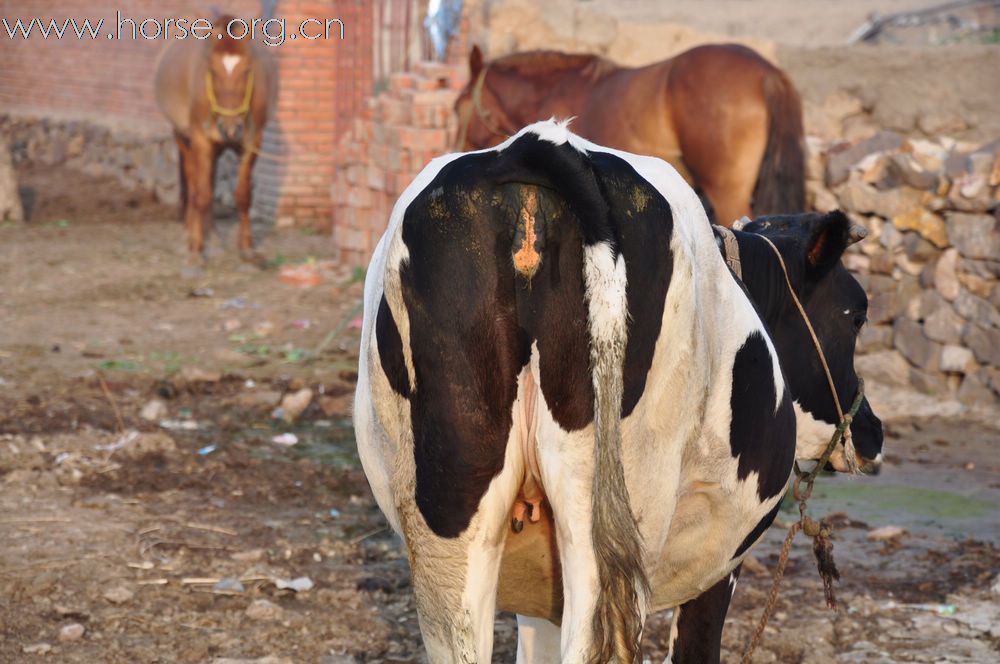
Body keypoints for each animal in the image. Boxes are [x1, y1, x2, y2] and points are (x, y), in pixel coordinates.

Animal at [152, 15, 278, 264]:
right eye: (212, 70)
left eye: (247, 69)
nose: (230, 128)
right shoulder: (201, 141)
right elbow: (201, 195)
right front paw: (196, 249)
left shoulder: (252, 142)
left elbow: (243, 195)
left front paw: (246, 247)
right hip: (184, 139)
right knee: (194, 186)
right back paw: (192, 235)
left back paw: (213, 235)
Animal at [354, 120, 884, 664]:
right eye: (856, 316)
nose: (872, 432)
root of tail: (533, 143)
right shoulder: (717, 557)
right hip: (618, 523)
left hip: (453, 517)